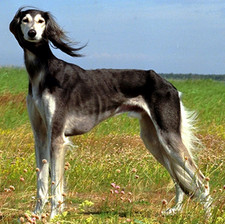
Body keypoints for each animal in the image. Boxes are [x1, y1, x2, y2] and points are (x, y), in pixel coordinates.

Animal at [9, 7, 212, 220]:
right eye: (25, 20)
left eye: (41, 21)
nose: (32, 33)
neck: (42, 73)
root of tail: (169, 85)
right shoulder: (40, 135)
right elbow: (41, 180)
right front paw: (36, 213)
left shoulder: (57, 136)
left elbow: (56, 184)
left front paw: (54, 216)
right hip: (153, 139)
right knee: (179, 178)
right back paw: (175, 209)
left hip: (168, 136)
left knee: (201, 179)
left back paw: (207, 215)